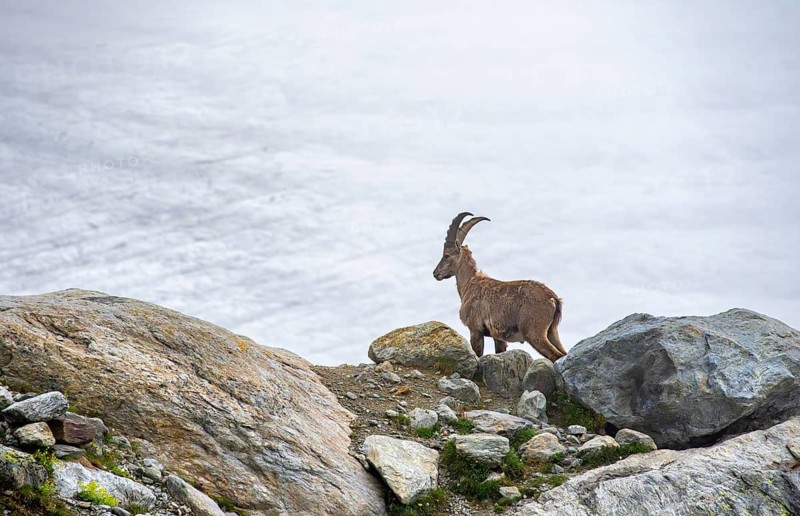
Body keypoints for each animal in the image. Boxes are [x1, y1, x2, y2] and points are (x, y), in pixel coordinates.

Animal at [433, 212, 567, 362]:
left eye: (446, 255)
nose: (435, 273)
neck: (470, 284)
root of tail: (553, 299)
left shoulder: (475, 329)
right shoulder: (499, 337)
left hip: (534, 332)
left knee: (555, 355)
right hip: (552, 332)